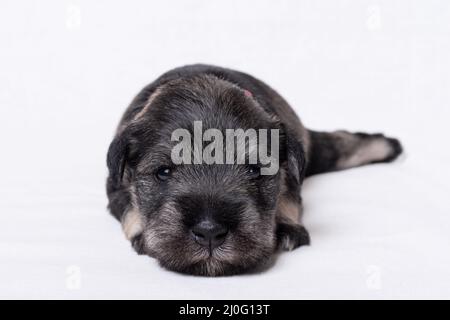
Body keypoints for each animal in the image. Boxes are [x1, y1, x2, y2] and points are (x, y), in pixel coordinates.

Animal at [107, 64, 402, 276]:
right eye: (164, 172)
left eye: (253, 170)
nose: (210, 232)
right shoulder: (116, 188)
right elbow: (129, 207)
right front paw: (142, 234)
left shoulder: (290, 176)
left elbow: (287, 198)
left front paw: (287, 227)